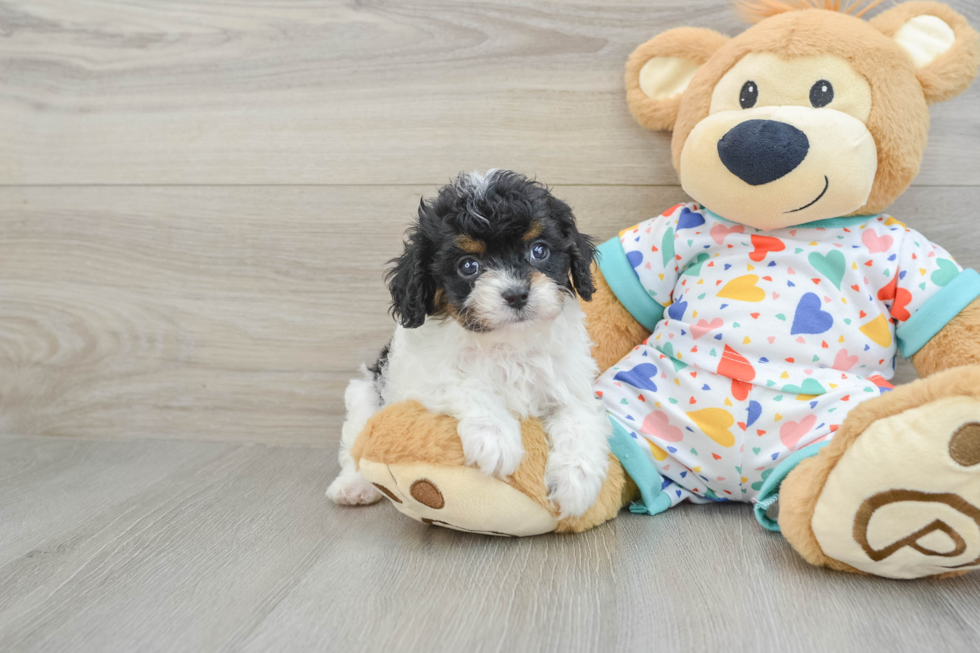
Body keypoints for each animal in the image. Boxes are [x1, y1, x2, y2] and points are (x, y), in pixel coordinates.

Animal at [330, 171, 612, 516]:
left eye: (539, 250)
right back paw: (353, 486)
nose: (517, 294)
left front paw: (576, 481)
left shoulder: (571, 384)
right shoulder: (422, 378)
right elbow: (466, 386)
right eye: (468, 266)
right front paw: (496, 438)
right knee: (356, 442)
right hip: (366, 392)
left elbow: (578, 419)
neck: (507, 342)